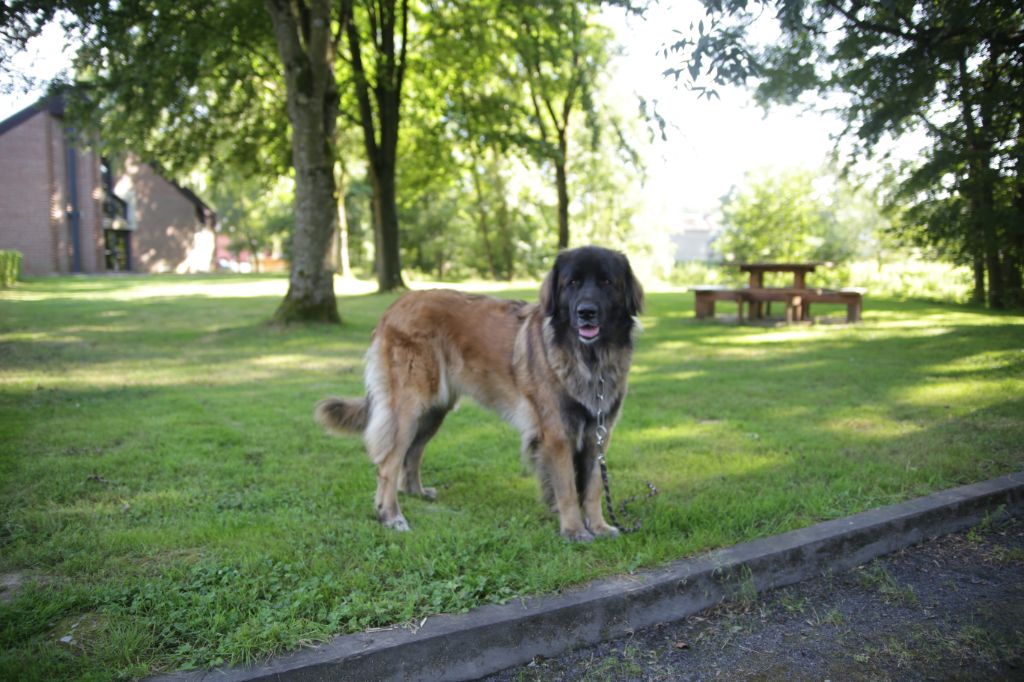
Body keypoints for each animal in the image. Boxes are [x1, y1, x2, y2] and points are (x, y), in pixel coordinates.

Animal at [315, 246, 643, 540]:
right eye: (572, 282)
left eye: (606, 282)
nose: (586, 312)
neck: (590, 358)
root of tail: (396, 305)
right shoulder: (557, 434)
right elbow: (567, 488)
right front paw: (574, 530)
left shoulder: (598, 433)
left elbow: (593, 486)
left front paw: (599, 526)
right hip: (408, 409)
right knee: (388, 463)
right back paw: (391, 516)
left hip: (433, 411)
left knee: (413, 453)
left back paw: (416, 492)